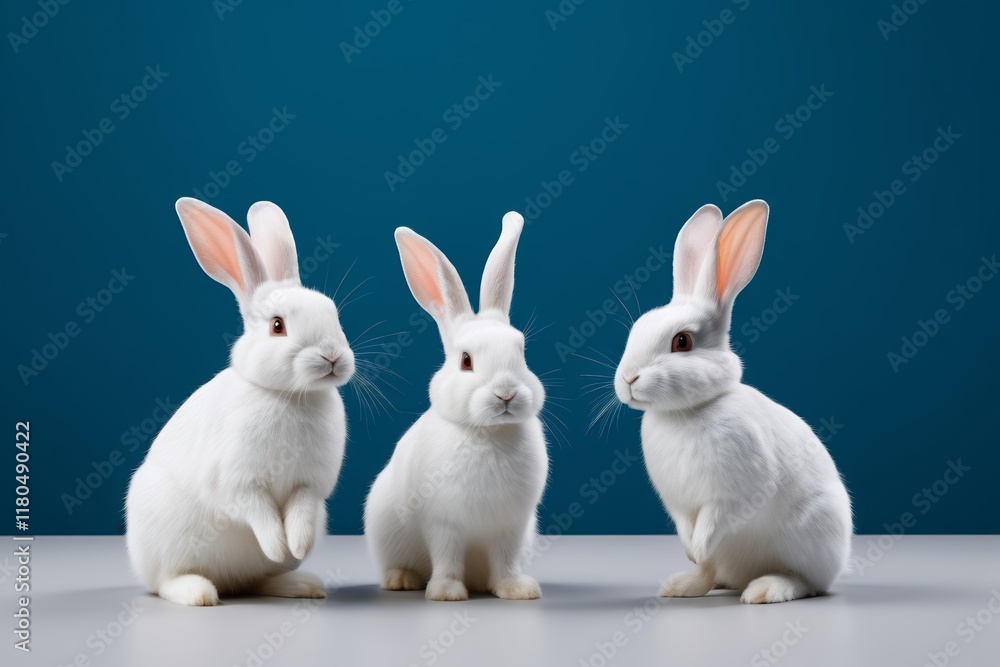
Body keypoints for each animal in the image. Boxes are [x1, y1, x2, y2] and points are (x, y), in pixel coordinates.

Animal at [125, 197, 355, 606]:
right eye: (277, 325)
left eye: (333, 314)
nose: (332, 356)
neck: (289, 396)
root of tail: (229, 582)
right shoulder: (238, 482)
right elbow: (259, 512)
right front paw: (278, 545)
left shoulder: (310, 486)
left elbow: (300, 512)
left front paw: (296, 546)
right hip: (163, 543)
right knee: (167, 581)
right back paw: (198, 593)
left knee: (258, 581)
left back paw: (301, 584)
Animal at [364, 212, 549, 601]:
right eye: (465, 361)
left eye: (522, 352)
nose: (506, 393)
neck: (489, 434)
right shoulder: (443, 523)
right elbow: (446, 557)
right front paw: (447, 593)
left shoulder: (510, 526)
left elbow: (506, 560)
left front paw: (517, 590)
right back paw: (401, 580)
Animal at [614, 200, 852, 604]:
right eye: (635, 331)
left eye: (682, 342)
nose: (628, 380)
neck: (686, 411)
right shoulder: (679, 504)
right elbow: (687, 526)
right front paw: (690, 552)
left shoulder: (734, 494)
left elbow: (715, 521)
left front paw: (699, 547)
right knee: (711, 574)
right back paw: (679, 585)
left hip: (810, 541)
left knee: (807, 582)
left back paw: (765, 590)